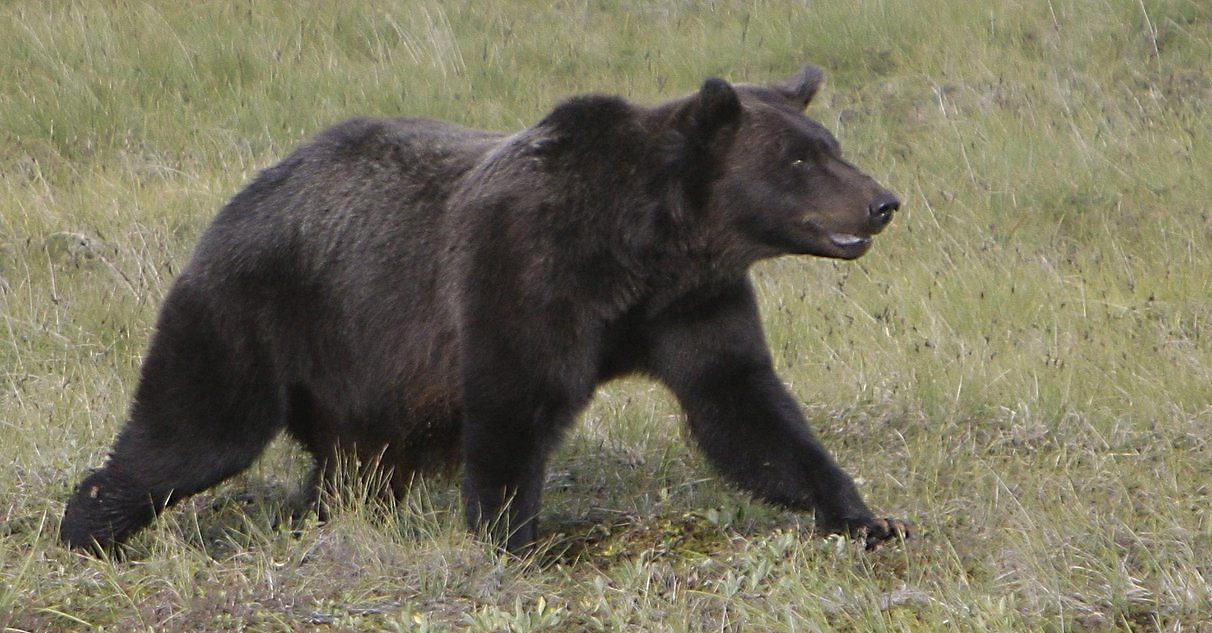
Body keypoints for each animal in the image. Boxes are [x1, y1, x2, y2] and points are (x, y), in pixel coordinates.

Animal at [61, 63, 910, 555]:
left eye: (829, 143)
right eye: (798, 159)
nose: (882, 202)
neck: (645, 248)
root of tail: (241, 195)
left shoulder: (691, 306)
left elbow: (744, 407)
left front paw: (865, 515)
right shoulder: (526, 271)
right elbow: (514, 403)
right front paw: (517, 541)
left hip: (367, 378)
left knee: (353, 469)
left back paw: (320, 519)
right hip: (261, 310)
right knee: (195, 429)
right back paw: (90, 528)